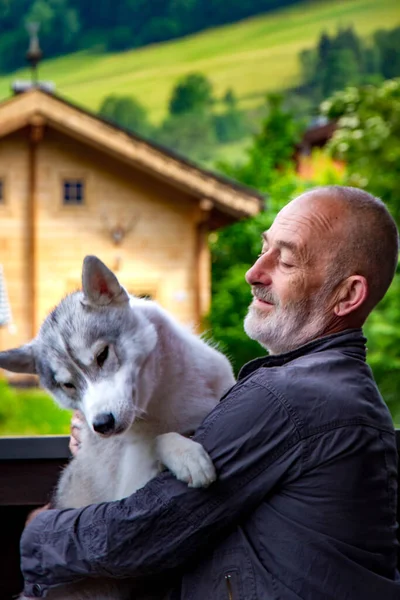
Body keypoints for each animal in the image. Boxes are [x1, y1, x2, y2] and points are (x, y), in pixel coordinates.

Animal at [0, 255, 236, 596]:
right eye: (68, 385)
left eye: (101, 355)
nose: (102, 424)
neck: (164, 398)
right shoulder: (129, 494)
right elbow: (159, 440)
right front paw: (186, 454)